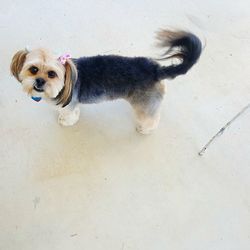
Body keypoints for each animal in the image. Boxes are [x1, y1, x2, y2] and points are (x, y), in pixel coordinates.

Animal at [10, 29, 201, 134]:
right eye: (33, 69)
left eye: (52, 74)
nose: (39, 81)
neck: (66, 83)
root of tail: (156, 70)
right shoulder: (73, 103)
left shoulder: (69, 103)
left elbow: (68, 115)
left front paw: (65, 121)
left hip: (144, 105)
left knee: (151, 118)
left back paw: (145, 129)